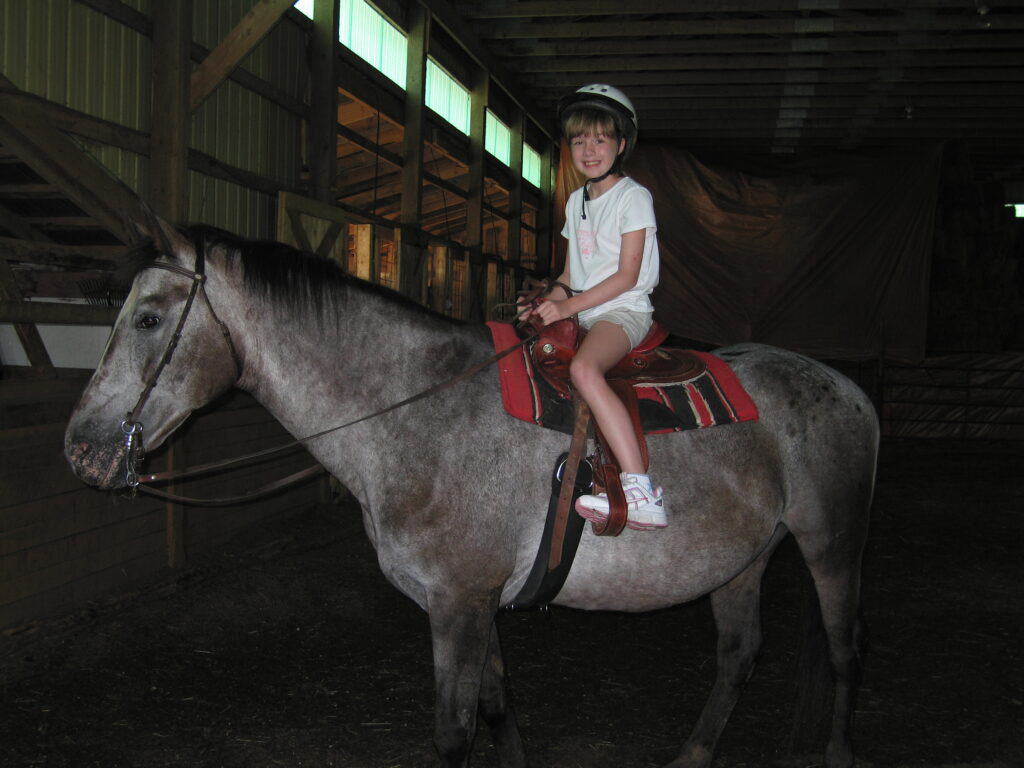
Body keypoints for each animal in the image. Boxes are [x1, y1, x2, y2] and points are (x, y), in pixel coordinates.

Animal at [66, 222, 880, 768]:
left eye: (147, 318)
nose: (81, 447)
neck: (416, 412)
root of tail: (849, 389)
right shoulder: (480, 601)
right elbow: (496, 706)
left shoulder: (457, 602)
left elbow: (454, 732)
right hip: (742, 560)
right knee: (740, 656)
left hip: (833, 543)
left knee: (845, 650)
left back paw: (839, 749)